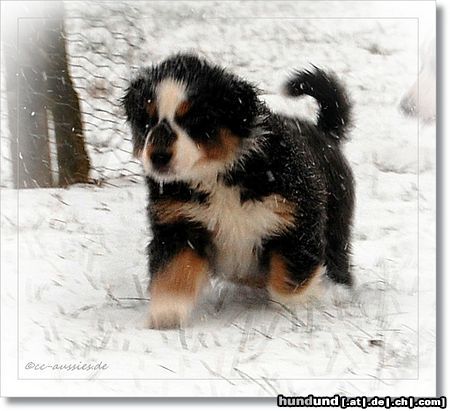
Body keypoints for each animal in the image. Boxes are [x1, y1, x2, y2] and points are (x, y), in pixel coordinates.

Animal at [122, 54, 356, 330]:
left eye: (194, 121)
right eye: (146, 121)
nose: (158, 157)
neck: (217, 175)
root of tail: (324, 132)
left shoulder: (296, 221)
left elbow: (289, 280)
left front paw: (296, 308)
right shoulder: (178, 224)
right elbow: (174, 270)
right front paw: (166, 314)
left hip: (337, 220)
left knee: (337, 257)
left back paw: (339, 291)